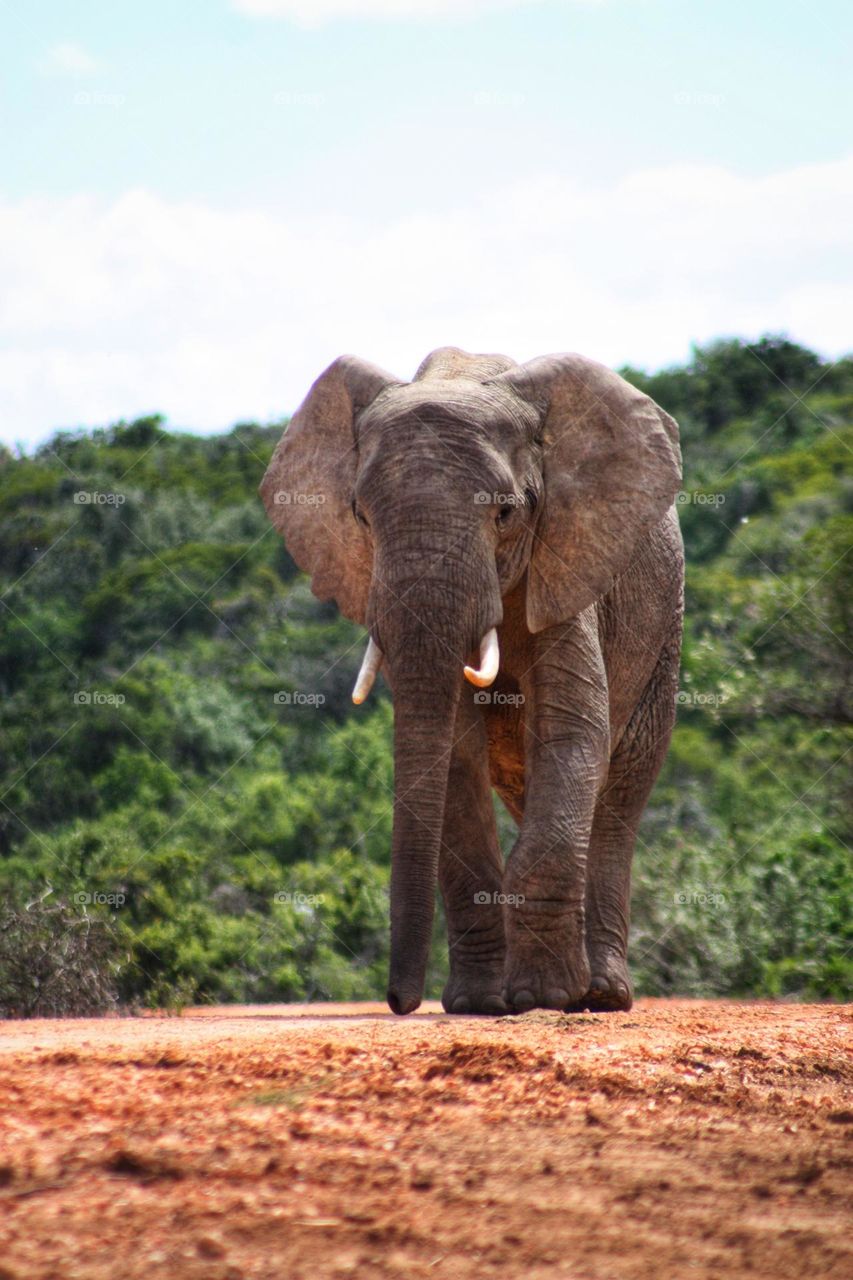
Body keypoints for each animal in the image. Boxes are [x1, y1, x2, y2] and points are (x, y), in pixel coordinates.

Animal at [256, 345, 681, 1013]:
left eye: (505, 513)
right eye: (360, 518)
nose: (399, 1001)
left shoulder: (566, 563)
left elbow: (572, 731)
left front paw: (544, 996)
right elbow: (455, 757)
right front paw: (482, 1004)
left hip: (665, 629)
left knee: (620, 791)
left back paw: (601, 995)